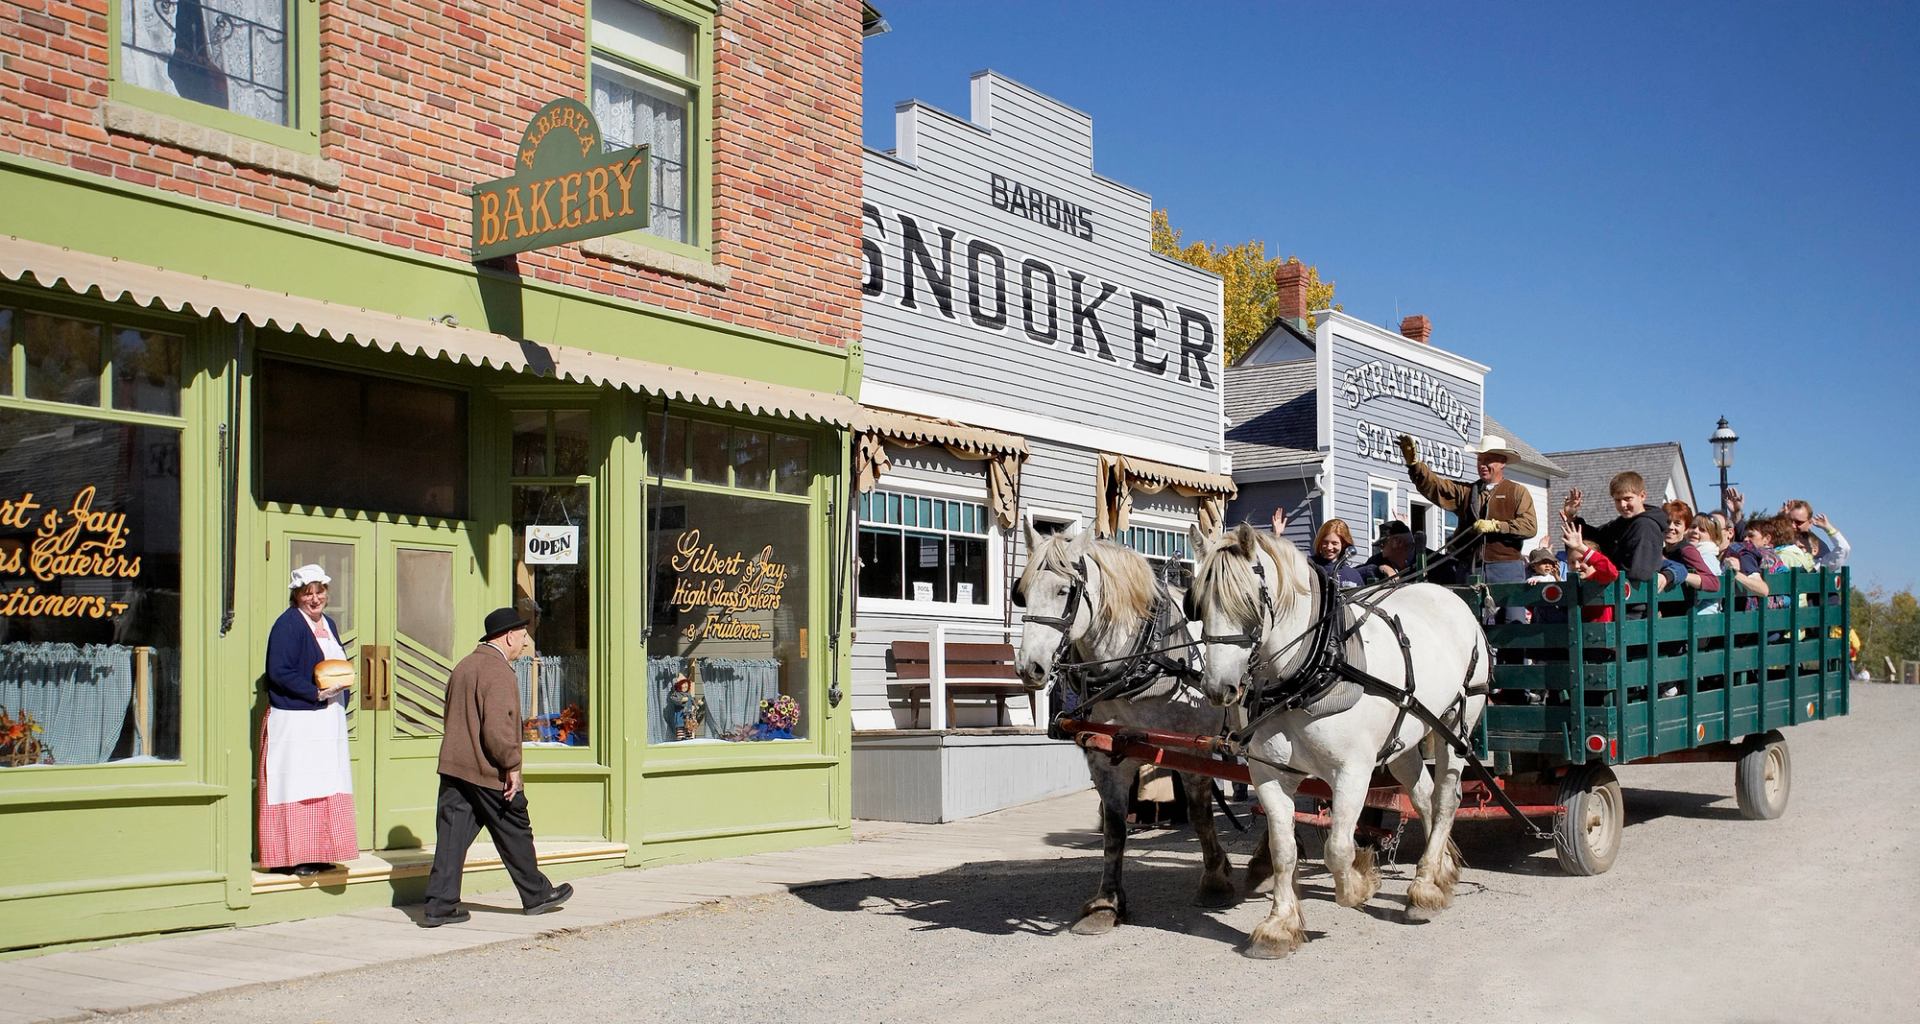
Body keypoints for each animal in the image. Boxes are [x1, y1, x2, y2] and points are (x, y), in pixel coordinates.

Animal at [1013, 522, 1267, 929]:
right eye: (1021, 592)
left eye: (1065, 591)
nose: (1028, 668)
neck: (1143, 661)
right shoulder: (1104, 754)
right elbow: (1115, 828)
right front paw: (1106, 903)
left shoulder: (1192, 749)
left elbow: (1200, 815)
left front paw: (1214, 880)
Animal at [1182, 522, 1482, 952]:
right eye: (1198, 604)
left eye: (1249, 602)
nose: (1218, 688)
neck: (1311, 667)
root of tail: (1447, 595)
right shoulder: (1268, 773)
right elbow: (1283, 850)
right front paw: (1278, 926)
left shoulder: (1352, 771)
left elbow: (1338, 848)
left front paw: (1360, 882)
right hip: (1402, 740)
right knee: (1423, 795)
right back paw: (1438, 873)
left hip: (1457, 723)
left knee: (1445, 799)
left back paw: (1424, 886)